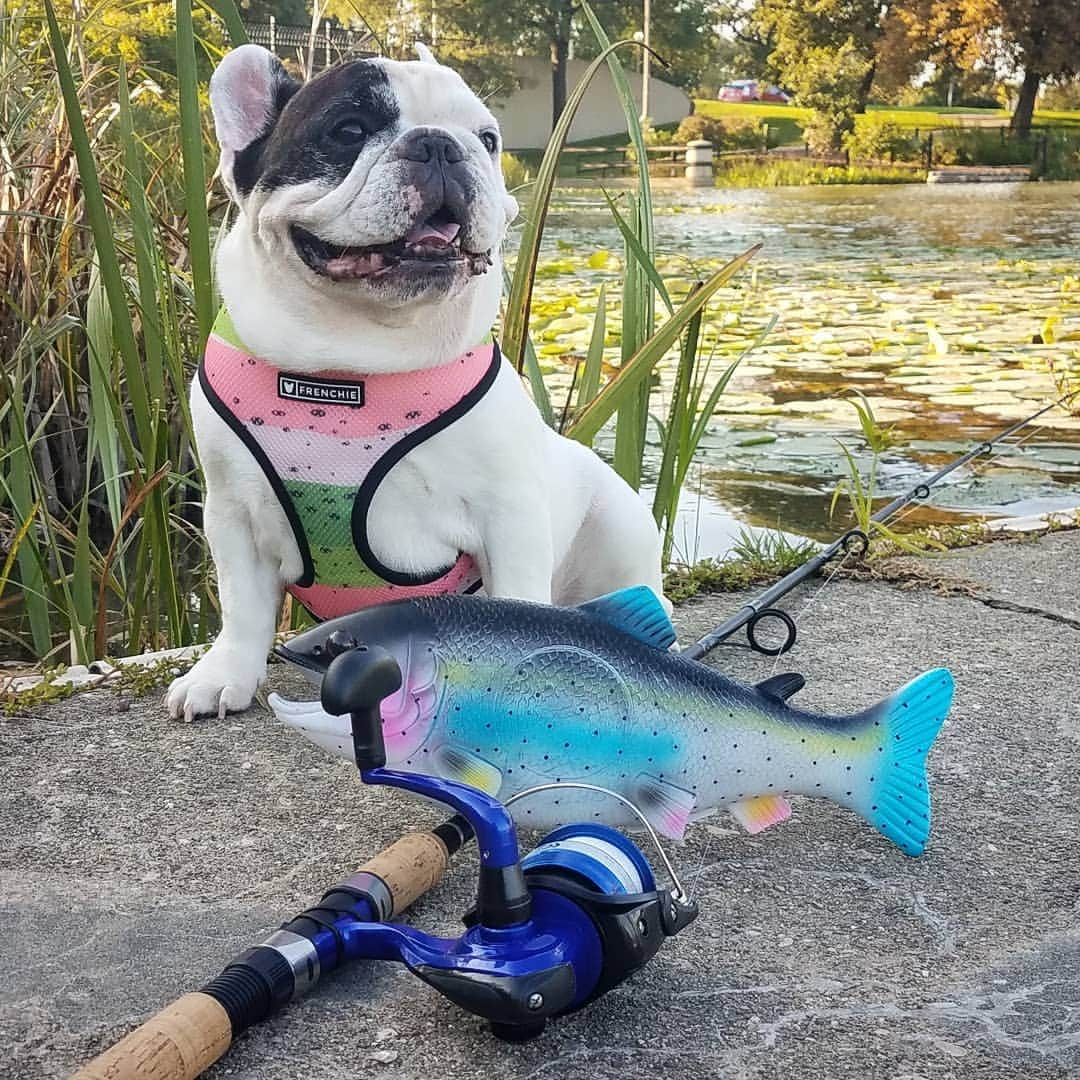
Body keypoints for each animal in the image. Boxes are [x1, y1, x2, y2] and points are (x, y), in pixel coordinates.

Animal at [166, 44, 665, 717]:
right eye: (349, 130)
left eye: (487, 139)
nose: (439, 144)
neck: (358, 358)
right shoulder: (233, 513)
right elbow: (242, 608)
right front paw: (223, 675)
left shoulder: (508, 514)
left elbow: (518, 595)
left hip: (619, 529)